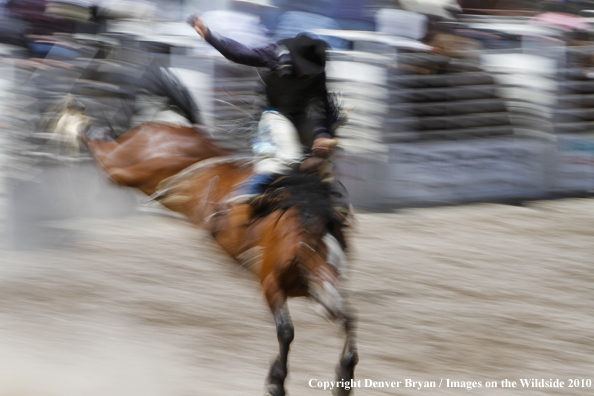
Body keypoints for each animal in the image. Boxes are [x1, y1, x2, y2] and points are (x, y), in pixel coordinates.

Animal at [59, 99, 360, 396]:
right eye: (310, 244)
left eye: (341, 247)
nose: (330, 303)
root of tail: (171, 126)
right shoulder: (270, 281)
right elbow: (286, 331)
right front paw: (276, 382)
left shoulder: (322, 290)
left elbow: (348, 320)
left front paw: (344, 377)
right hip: (126, 167)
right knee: (102, 147)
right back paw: (71, 119)